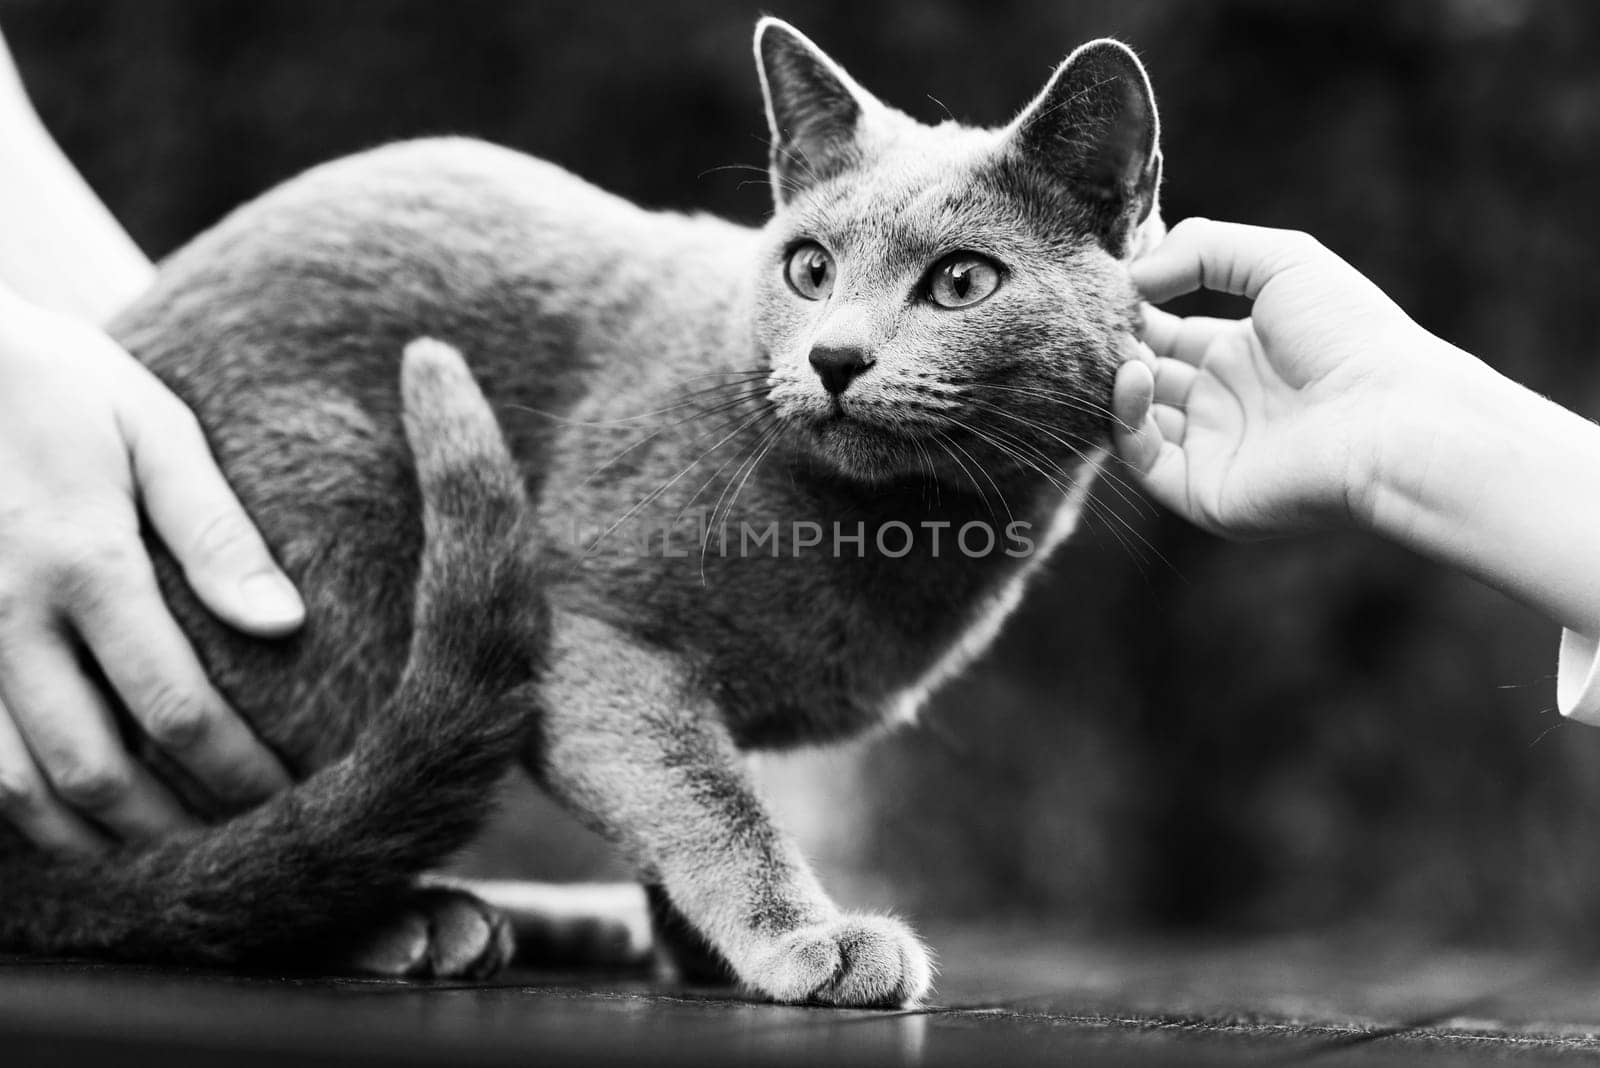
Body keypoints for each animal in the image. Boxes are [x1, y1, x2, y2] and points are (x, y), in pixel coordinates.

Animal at [0, 18, 1164, 1010]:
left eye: (961, 282)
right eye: (810, 268)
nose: (834, 357)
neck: (899, 531)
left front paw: (691, 947)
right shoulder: (598, 639)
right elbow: (703, 798)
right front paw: (804, 940)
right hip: (344, 499)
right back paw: (411, 925)